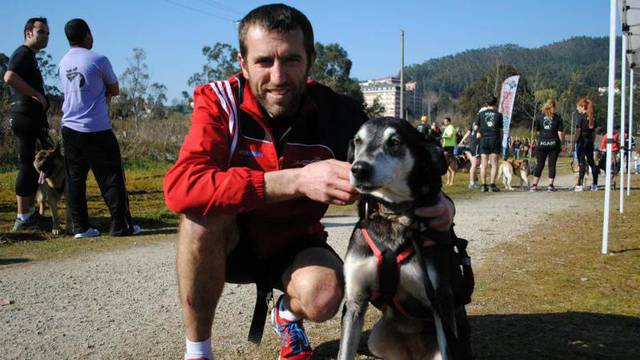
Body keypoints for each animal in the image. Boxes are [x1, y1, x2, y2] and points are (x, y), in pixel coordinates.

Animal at [338, 118, 472, 360]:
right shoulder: (354, 302)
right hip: (376, 339)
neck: (393, 215)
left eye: (395, 142)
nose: (359, 169)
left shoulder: (440, 302)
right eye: (358, 141)